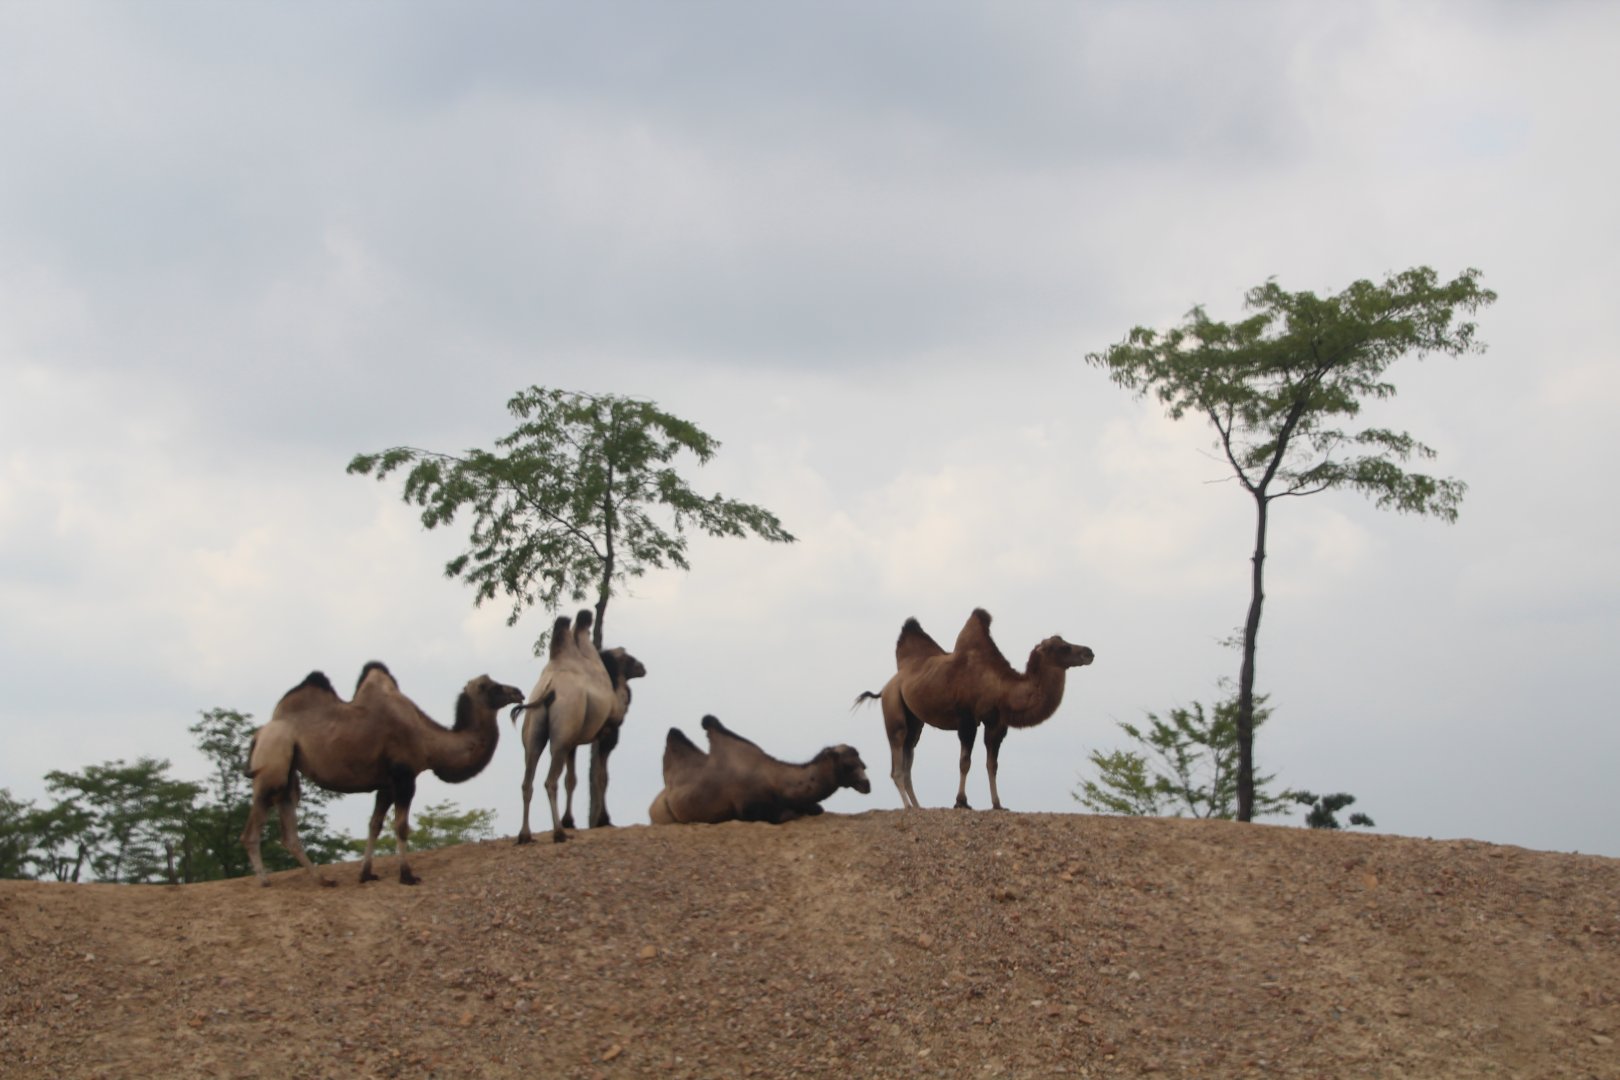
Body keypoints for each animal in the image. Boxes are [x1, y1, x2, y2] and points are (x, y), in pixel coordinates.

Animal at [241, 662, 524, 886]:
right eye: (490, 686)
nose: (518, 692)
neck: (429, 741)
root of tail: (260, 733)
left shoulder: (386, 785)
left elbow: (374, 825)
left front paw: (366, 874)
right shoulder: (404, 777)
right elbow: (401, 827)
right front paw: (407, 875)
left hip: (287, 776)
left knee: (289, 832)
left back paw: (323, 879)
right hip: (272, 764)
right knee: (252, 829)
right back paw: (264, 880)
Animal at [514, 610, 637, 843]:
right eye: (628, 657)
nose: (642, 668)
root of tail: (548, 688)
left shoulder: (573, 741)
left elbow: (571, 780)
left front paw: (570, 820)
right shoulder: (608, 734)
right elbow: (600, 777)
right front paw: (603, 820)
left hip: (536, 729)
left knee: (528, 778)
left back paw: (525, 835)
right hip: (562, 732)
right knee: (549, 781)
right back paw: (558, 833)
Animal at [648, 714, 871, 825]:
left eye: (863, 764)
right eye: (848, 765)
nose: (866, 784)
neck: (775, 781)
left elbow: (816, 808)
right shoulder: (749, 807)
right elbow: (785, 815)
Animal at [854, 608, 1094, 810]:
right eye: (1063, 647)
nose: (1089, 652)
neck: (1001, 687)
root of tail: (886, 686)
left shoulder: (996, 724)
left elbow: (992, 764)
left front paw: (998, 804)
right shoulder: (967, 719)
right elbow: (965, 762)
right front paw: (961, 802)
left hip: (915, 720)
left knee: (909, 751)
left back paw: (918, 806)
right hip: (893, 708)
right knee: (897, 752)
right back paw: (907, 806)